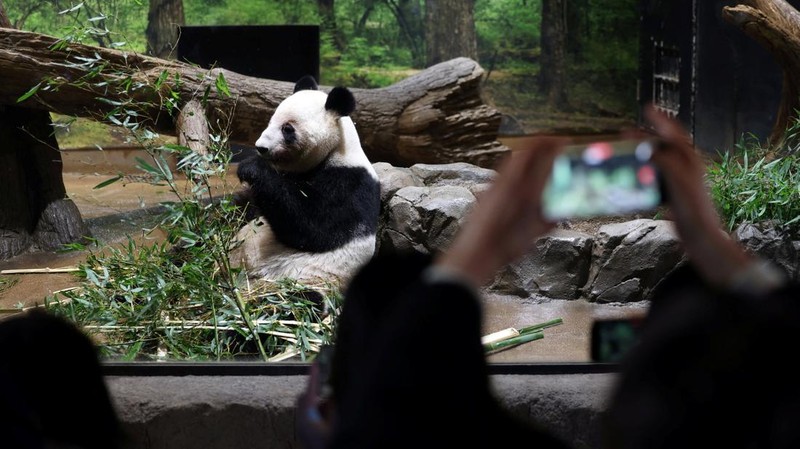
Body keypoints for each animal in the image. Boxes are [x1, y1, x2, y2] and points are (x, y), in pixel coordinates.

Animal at [230, 75, 381, 288]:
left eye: (287, 129)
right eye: (270, 121)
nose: (261, 147)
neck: (335, 150)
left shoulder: (350, 183)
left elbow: (314, 227)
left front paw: (251, 167)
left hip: (307, 279)